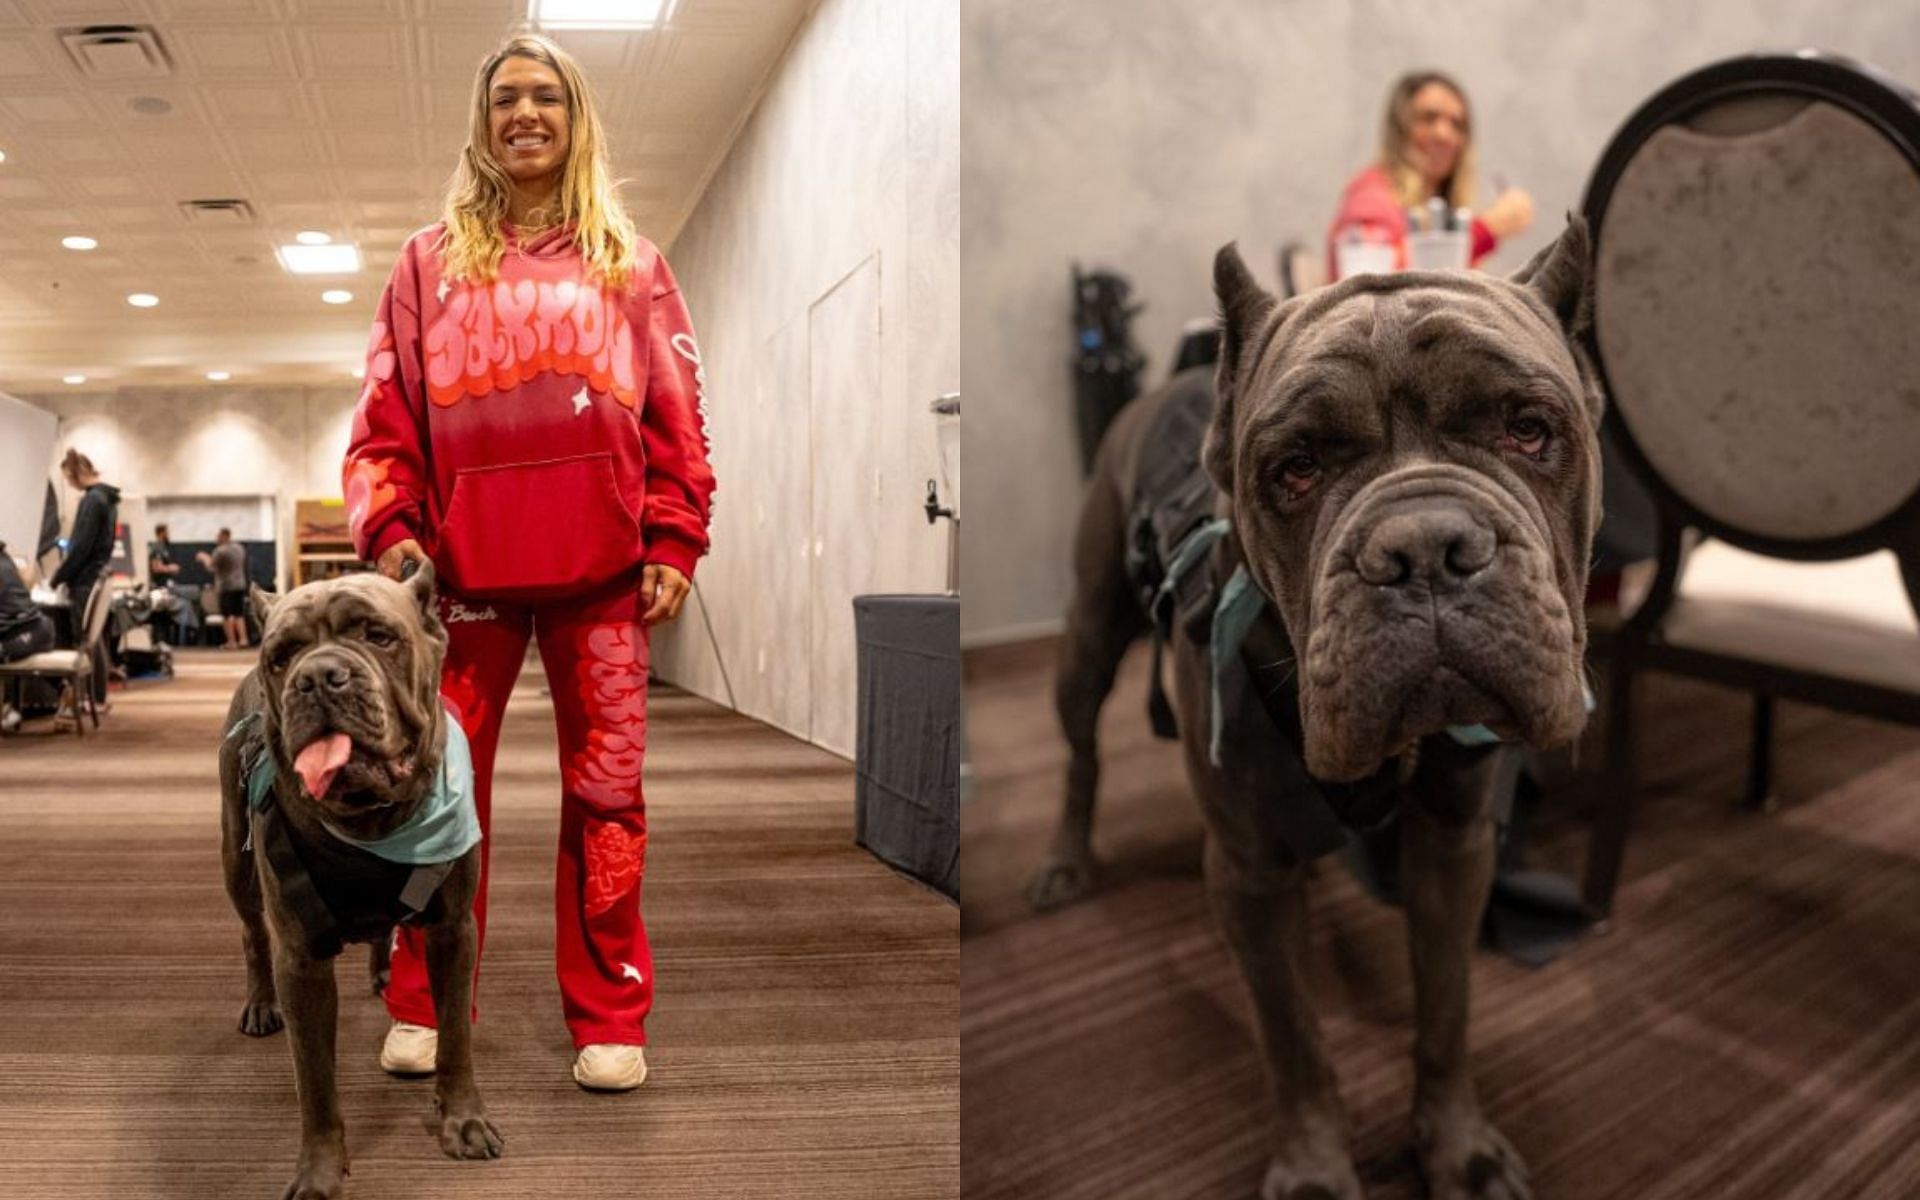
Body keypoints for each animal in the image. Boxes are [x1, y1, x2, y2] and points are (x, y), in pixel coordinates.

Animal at [218, 564, 503, 1198]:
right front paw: (319, 1174)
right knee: (250, 933)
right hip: (235, 859)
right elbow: (316, 1084)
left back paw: (381, 969)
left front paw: (464, 1121)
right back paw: (258, 1003)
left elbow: (456, 1037)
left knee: (383, 930)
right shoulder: (301, 962)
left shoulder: (454, 930)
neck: (372, 824)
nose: (318, 677)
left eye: (379, 636)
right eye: (283, 656)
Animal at [1036, 219, 1605, 1190]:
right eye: (1294, 469)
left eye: (1530, 429)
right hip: (1088, 640)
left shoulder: (1453, 842)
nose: (1425, 548)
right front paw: (1312, 1165)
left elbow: (1446, 1008)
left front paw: (1457, 1147)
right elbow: (1293, 1037)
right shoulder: (1250, 876)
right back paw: (1069, 862)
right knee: (1083, 756)